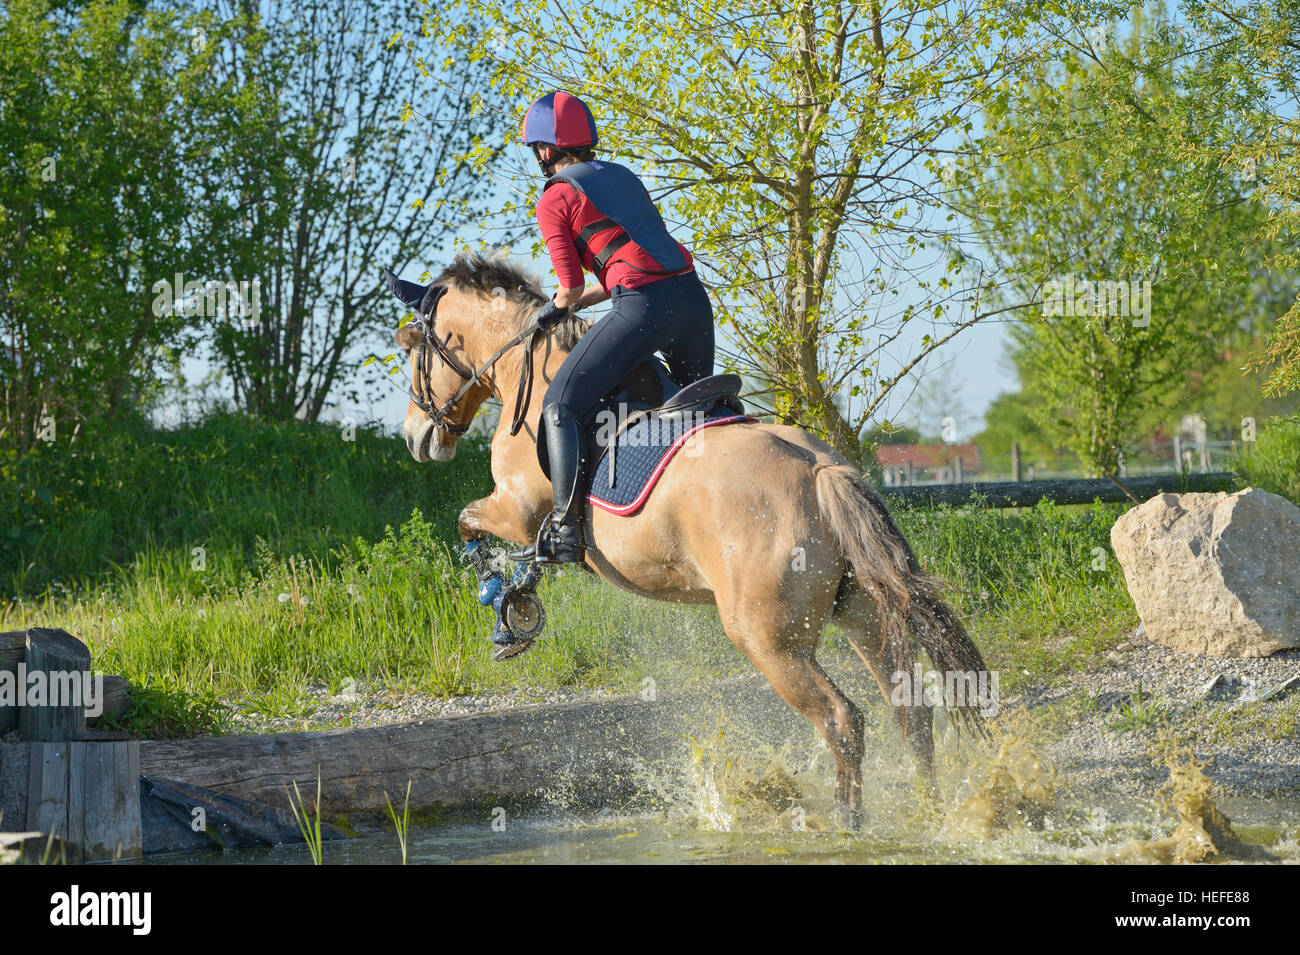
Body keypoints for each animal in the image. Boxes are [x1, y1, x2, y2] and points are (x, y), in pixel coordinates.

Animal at [388, 253, 990, 824]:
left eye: (412, 349)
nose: (415, 438)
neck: (526, 373)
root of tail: (821, 473)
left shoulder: (515, 511)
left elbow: (468, 524)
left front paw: (505, 603)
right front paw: (517, 598)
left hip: (771, 642)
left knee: (842, 720)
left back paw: (848, 823)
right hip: (862, 614)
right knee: (910, 710)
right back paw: (931, 815)